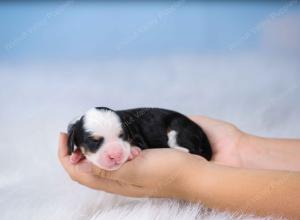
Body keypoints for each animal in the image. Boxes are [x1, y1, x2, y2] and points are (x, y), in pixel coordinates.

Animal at [67, 107, 212, 171]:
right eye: (94, 141)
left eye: (122, 136)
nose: (116, 154)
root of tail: (202, 132)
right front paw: (76, 155)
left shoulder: (139, 137)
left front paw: (132, 151)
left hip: (178, 129)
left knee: (189, 150)